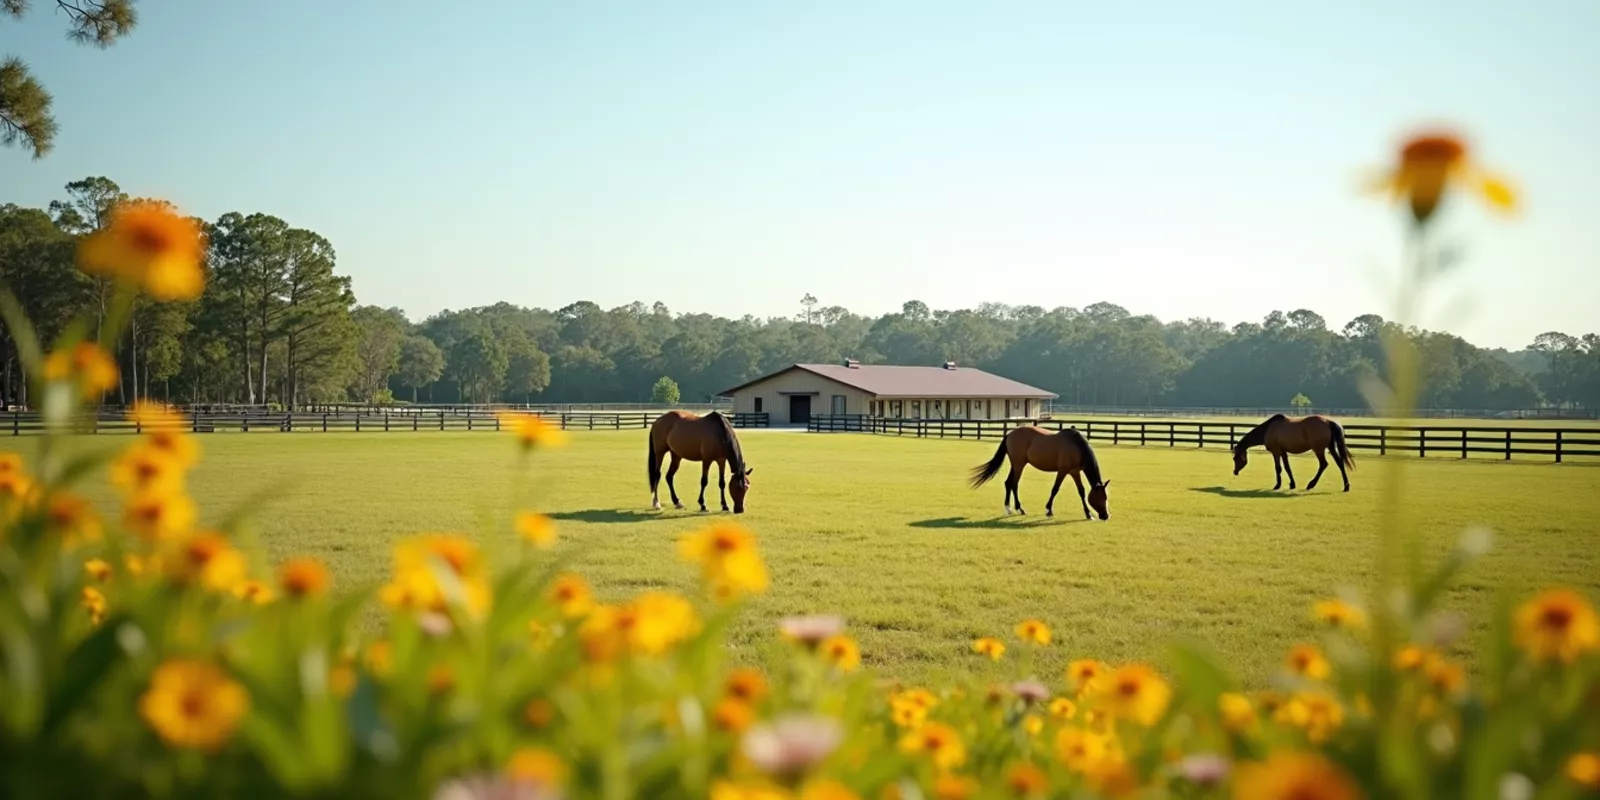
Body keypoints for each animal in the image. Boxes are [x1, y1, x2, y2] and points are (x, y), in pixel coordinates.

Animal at [969, 426, 1110, 520]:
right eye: (1101, 498)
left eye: (1106, 497)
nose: (1105, 516)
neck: (1076, 446)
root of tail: (1010, 434)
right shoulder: (1063, 471)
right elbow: (1055, 489)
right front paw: (1048, 510)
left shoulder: (1075, 472)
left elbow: (1081, 491)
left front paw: (1088, 514)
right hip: (1019, 464)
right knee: (1014, 483)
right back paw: (1019, 508)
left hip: (1016, 465)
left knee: (1008, 483)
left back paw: (1009, 508)